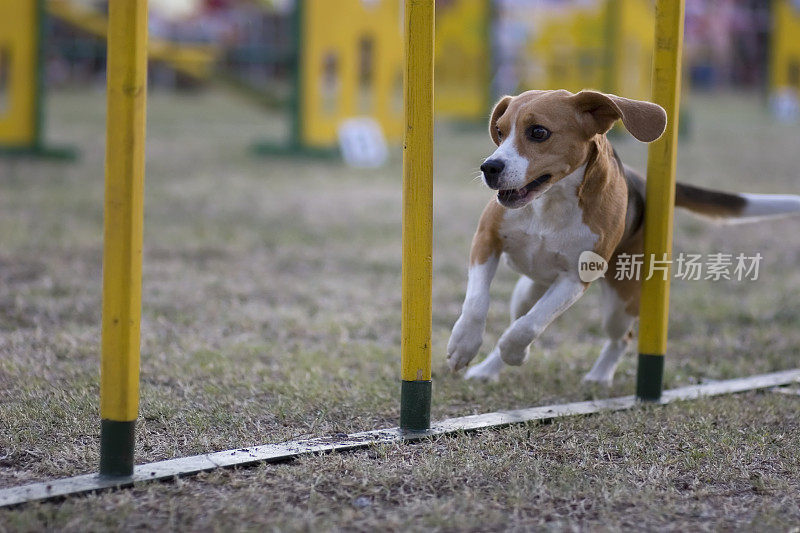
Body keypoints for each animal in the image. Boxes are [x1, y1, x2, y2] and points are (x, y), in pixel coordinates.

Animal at [446, 89, 800, 384]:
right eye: (500, 132)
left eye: (538, 132)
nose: (489, 167)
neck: (550, 203)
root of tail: (640, 180)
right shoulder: (486, 241)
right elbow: (477, 302)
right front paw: (463, 345)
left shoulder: (577, 278)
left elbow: (527, 327)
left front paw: (516, 352)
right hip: (527, 291)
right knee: (520, 313)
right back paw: (487, 370)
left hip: (620, 303)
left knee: (619, 337)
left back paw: (599, 376)